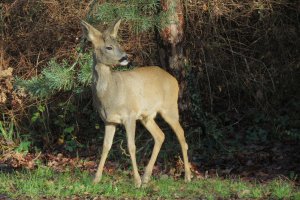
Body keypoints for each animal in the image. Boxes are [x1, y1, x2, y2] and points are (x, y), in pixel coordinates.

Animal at [81, 19, 191, 187]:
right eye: (109, 47)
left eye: (118, 43)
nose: (125, 57)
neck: (110, 94)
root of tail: (174, 80)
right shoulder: (109, 120)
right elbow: (106, 146)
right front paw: (96, 179)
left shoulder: (130, 115)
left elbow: (131, 146)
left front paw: (136, 181)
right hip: (147, 116)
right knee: (160, 135)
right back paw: (147, 177)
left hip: (170, 108)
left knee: (181, 135)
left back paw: (187, 177)